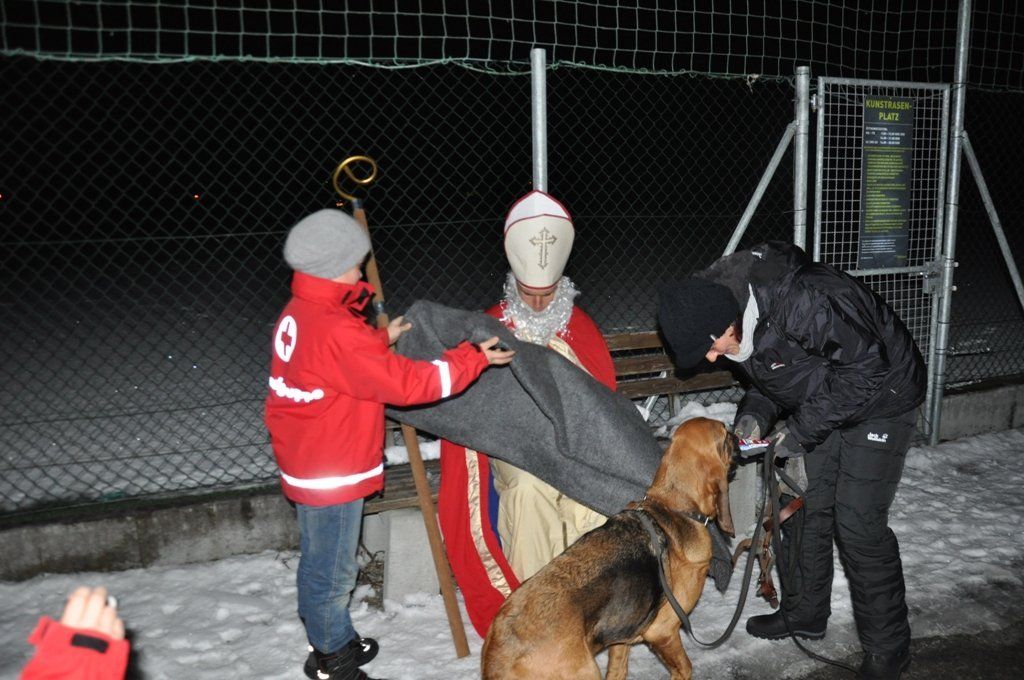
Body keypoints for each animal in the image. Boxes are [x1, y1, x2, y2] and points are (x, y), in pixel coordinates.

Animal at [481, 416, 737, 680]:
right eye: (725, 434)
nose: (737, 435)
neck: (674, 505)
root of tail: (500, 654)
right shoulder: (663, 631)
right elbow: (684, 668)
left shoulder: (622, 639)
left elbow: (617, 670)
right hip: (585, 672)